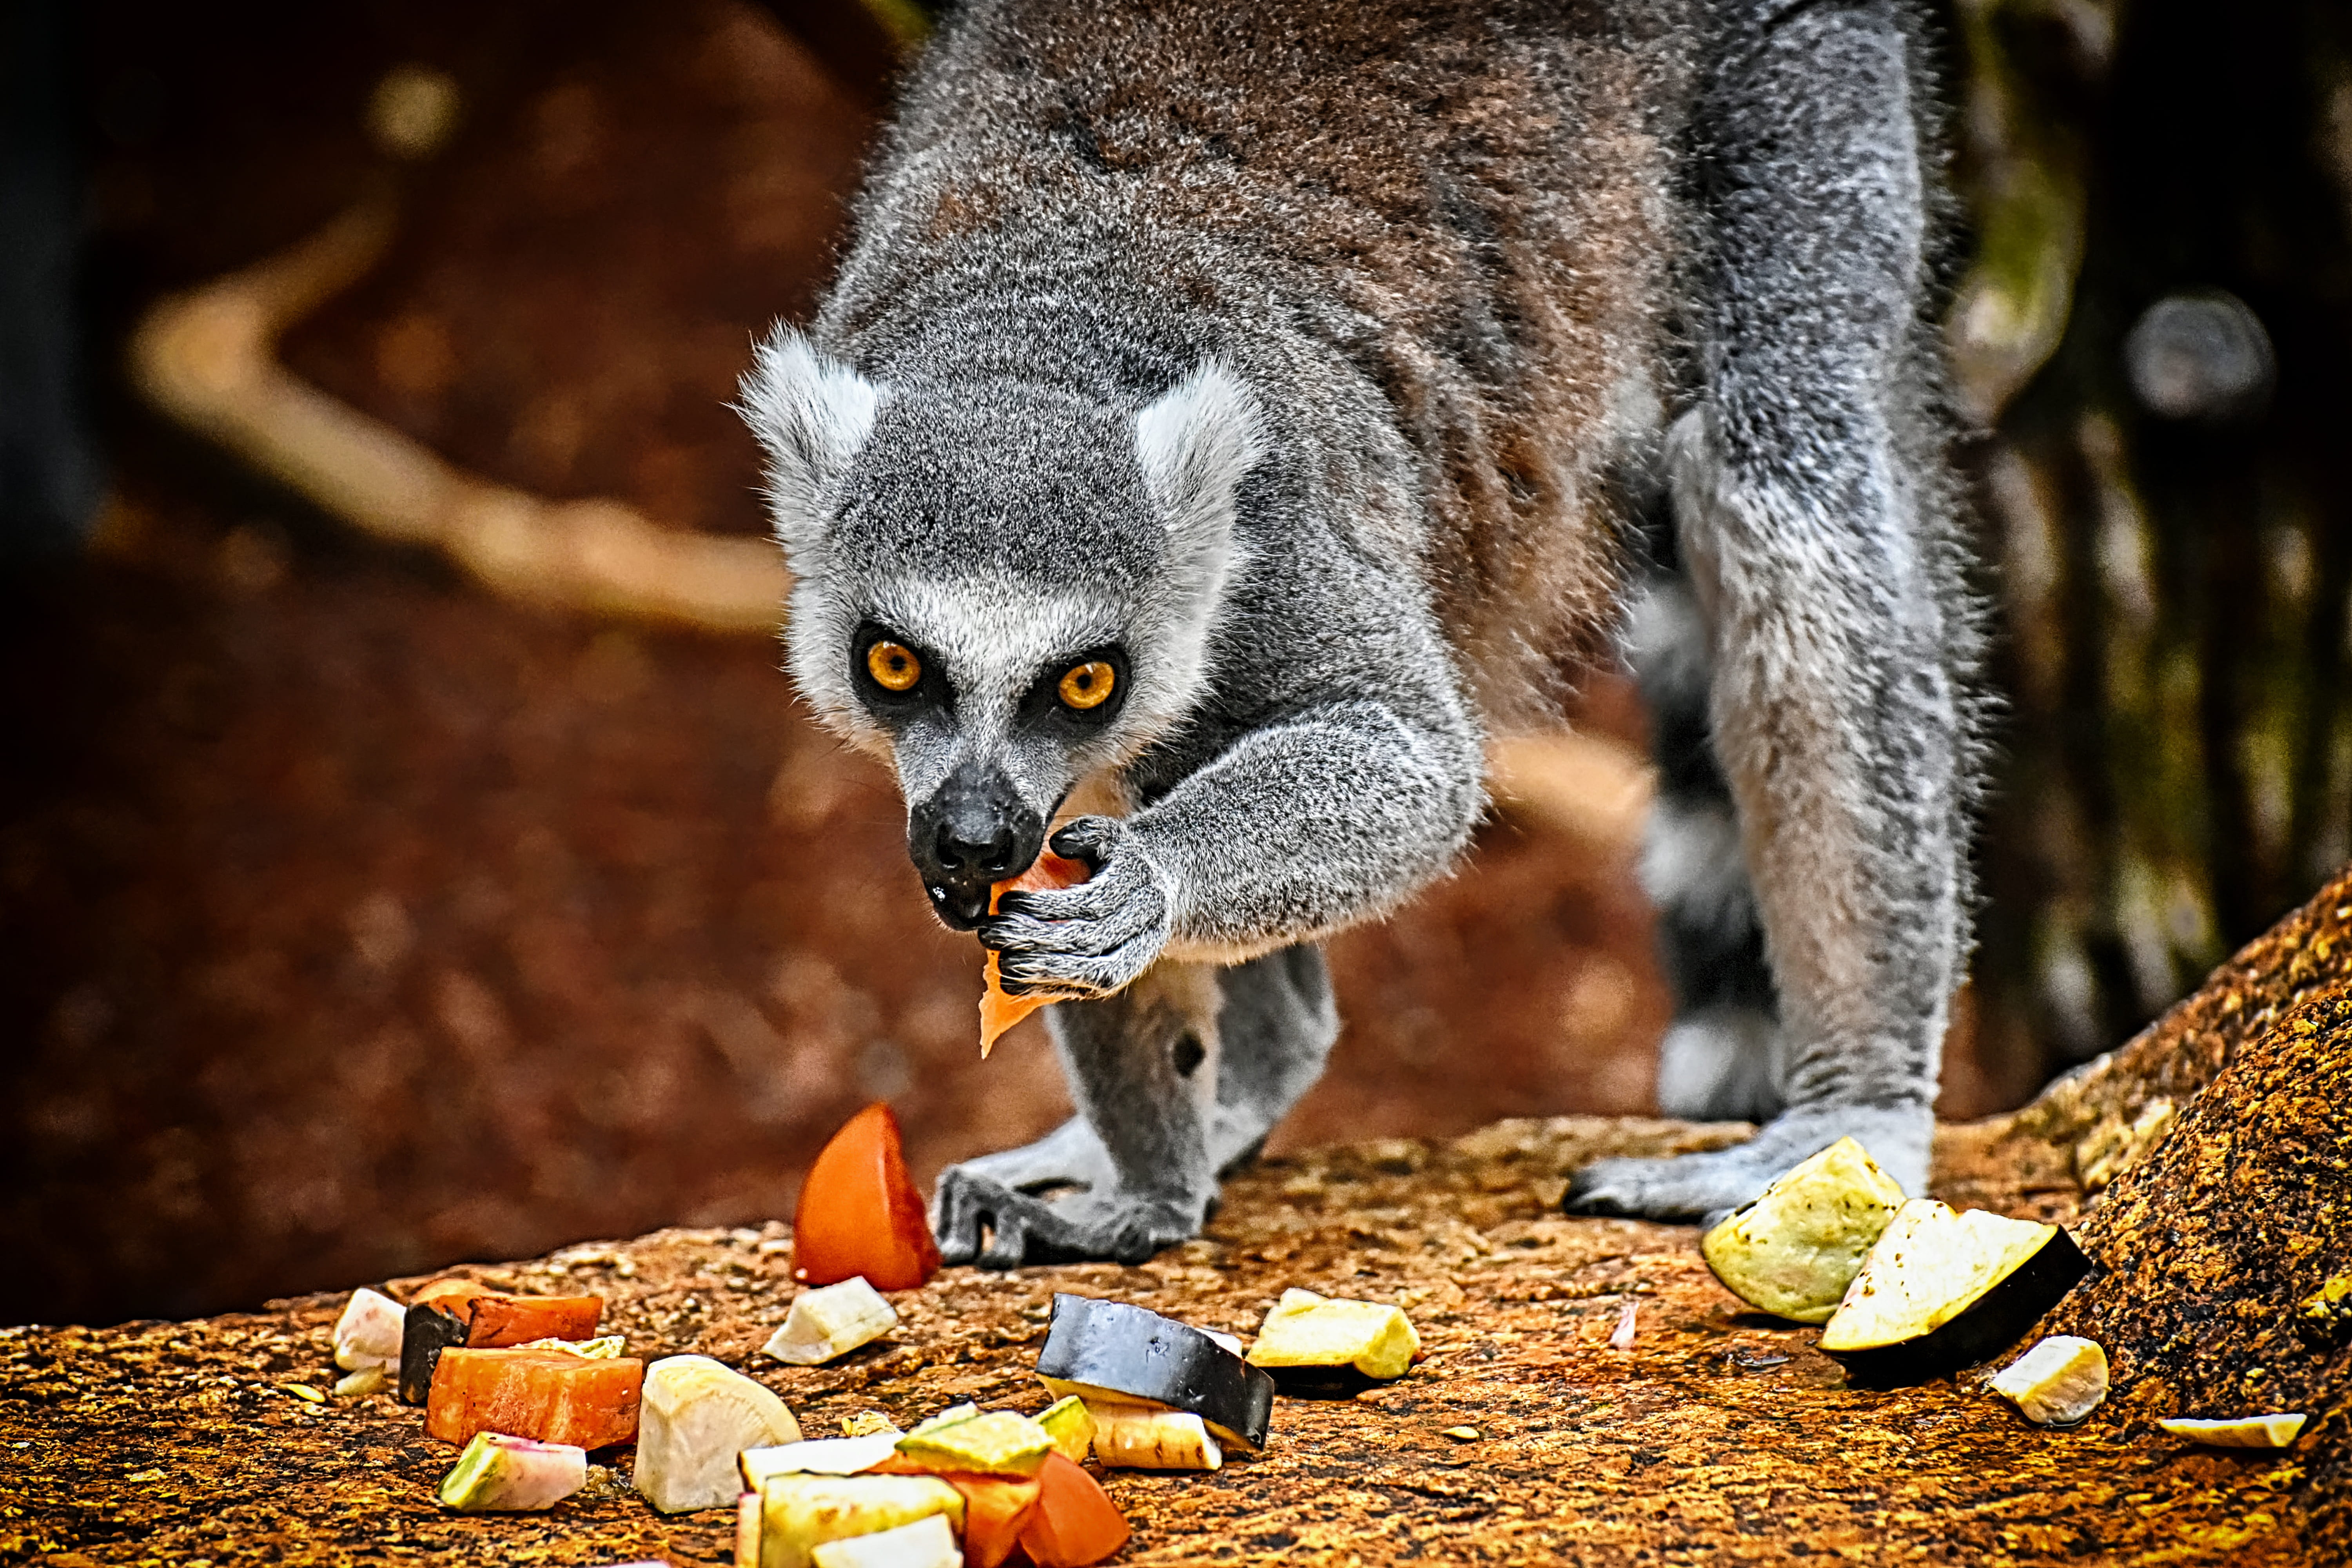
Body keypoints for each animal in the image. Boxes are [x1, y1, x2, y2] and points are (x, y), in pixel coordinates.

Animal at [738, 0, 1983, 1266]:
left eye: (1083, 681)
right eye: (893, 663)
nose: (974, 840)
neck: (1041, 320)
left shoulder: (1276, 530)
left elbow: (1409, 760)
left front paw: (1147, 893)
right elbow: (1113, 797)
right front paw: (1148, 1169)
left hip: (1788, 85)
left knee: (1783, 472)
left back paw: (1857, 1108)